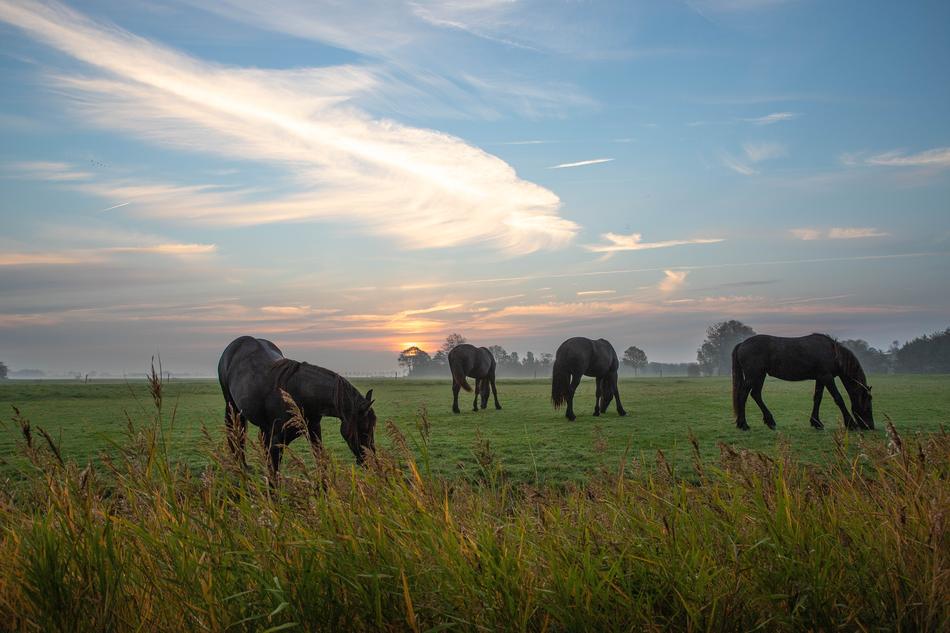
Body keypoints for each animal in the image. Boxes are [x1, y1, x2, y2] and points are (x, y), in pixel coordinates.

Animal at [218, 336, 376, 476]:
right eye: (364, 429)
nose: (371, 462)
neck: (298, 396)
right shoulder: (277, 442)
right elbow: (274, 476)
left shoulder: (313, 432)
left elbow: (321, 464)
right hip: (232, 408)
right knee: (235, 435)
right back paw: (240, 466)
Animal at [732, 333, 874, 431]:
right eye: (868, 403)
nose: (870, 426)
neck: (833, 353)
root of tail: (741, 344)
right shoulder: (827, 377)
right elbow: (838, 399)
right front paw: (851, 424)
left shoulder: (820, 378)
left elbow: (817, 398)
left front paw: (816, 423)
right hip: (753, 376)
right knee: (743, 395)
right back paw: (743, 424)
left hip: (760, 376)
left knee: (756, 394)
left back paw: (769, 421)